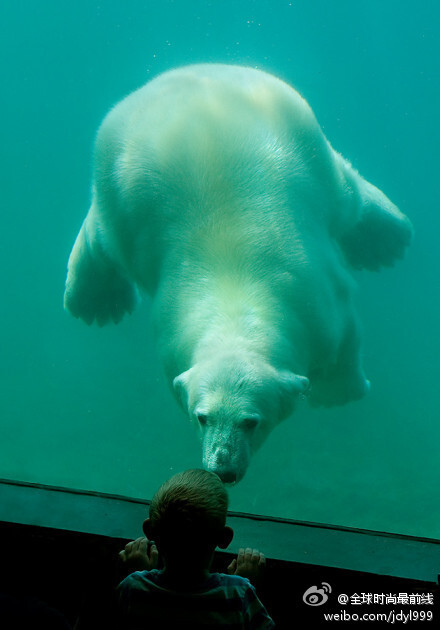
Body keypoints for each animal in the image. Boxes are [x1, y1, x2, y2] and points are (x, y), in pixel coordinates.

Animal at [64, 65, 412, 484]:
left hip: (307, 145)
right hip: (119, 186)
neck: (237, 295)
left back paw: (385, 242)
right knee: (102, 234)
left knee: (346, 195)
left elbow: (346, 337)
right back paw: (97, 303)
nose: (222, 468)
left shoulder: (319, 297)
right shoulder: (171, 330)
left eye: (251, 421)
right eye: (202, 417)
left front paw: (338, 394)